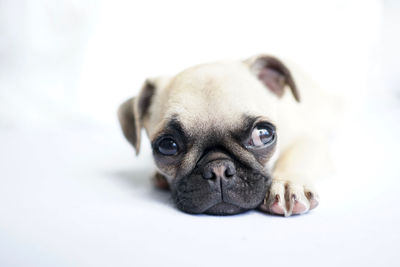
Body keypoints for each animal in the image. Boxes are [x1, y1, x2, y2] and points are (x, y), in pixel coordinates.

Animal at [117, 54, 332, 216]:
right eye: (168, 146)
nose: (218, 169)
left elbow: (295, 157)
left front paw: (287, 184)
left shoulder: (310, 140)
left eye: (262, 135)